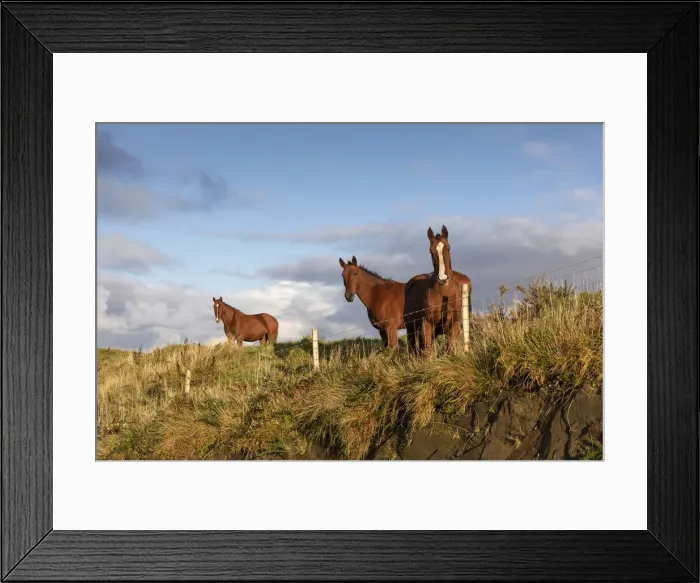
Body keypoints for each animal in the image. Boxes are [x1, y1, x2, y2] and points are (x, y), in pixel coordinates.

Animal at [403, 225, 472, 356]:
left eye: (448, 248)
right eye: (431, 251)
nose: (443, 278)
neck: (444, 293)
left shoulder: (453, 325)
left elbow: (451, 350)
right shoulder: (427, 324)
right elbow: (428, 353)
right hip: (411, 328)